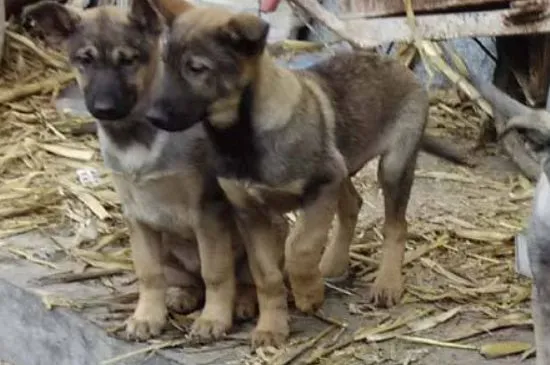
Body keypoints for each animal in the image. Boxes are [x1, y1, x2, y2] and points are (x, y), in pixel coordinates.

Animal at [23, 0, 288, 342]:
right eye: (84, 60)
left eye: (128, 60)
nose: (104, 108)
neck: (136, 136)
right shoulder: (137, 216)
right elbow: (149, 274)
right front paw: (147, 316)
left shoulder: (208, 211)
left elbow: (216, 273)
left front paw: (213, 318)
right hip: (169, 251)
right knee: (186, 280)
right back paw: (182, 294)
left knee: (243, 276)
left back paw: (241, 301)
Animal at [144, 6, 468, 346]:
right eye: (164, 63)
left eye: (196, 68)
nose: (151, 116)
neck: (243, 137)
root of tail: (397, 63)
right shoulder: (250, 212)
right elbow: (267, 275)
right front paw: (271, 327)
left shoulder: (321, 187)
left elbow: (300, 247)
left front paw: (308, 293)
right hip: (343, 165)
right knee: (352, 204)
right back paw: (332, 264)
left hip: (392, 166)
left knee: (396, 225)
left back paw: (386, 282)